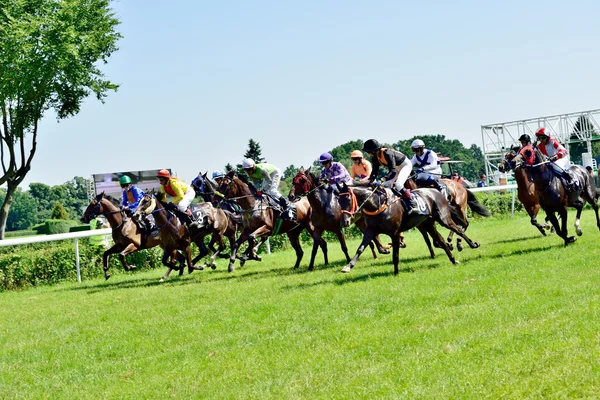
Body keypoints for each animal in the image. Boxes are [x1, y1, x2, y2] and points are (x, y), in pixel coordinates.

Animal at [336, 183, 480, 276]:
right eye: (338, 200)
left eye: (348, 198)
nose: (345, 221)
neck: (377, 204)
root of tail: (438, 192)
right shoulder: (370, 230)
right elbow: (360, 248)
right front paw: (348, 266)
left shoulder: (394, 233)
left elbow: (395, 254)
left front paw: (395, 272)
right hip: (429, 224)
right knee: (442, 241)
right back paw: (453, 260)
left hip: (444, 219)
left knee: (458, 229)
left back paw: (472, 244)